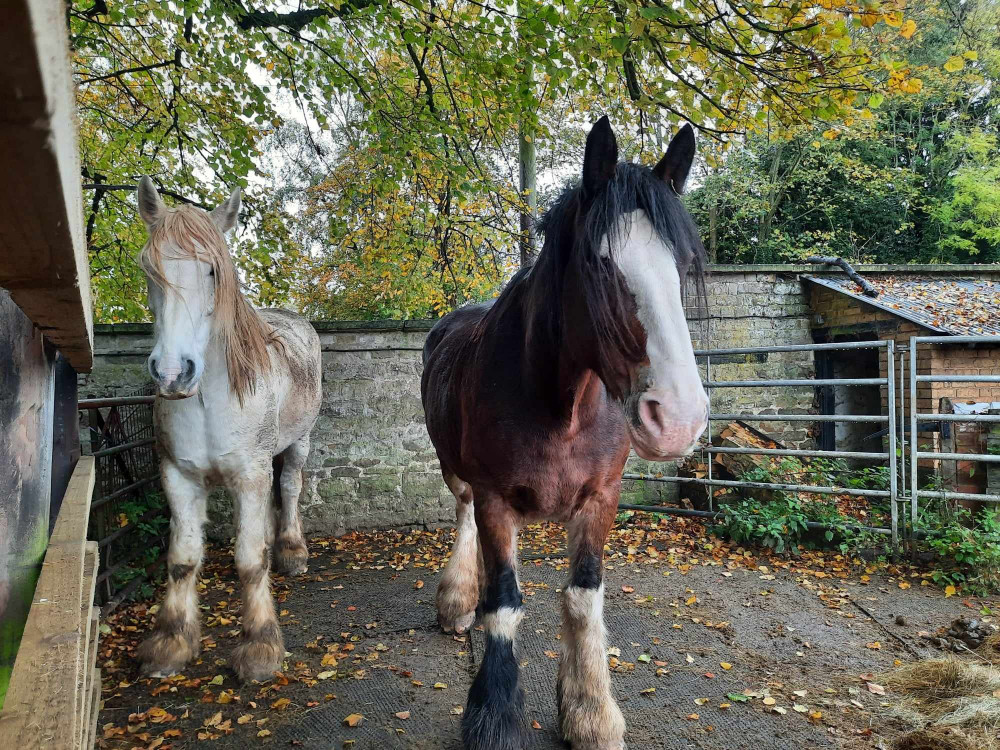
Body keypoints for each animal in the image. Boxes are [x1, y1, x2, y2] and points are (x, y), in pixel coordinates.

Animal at [133, 179, 320, 684]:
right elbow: (182, 559)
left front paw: (260, 647)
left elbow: (249, 561)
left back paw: (291, 551)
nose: (172, 373)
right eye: (147, 267)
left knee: (289, 487)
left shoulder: (250, 476)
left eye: (213, 270)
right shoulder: (177, 476)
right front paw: (171, 642)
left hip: (299, 442)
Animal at [422, 117, 712, 750]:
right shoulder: (496, 500)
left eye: (683, 266)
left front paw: (590, 713)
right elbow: (504, 605)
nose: (678, 418)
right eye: (600, 264)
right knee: (461, 513)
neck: (563, 407)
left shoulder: (601, 498)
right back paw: (457, 597)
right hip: (455, 470)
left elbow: (582, 599)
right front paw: (494, 718)